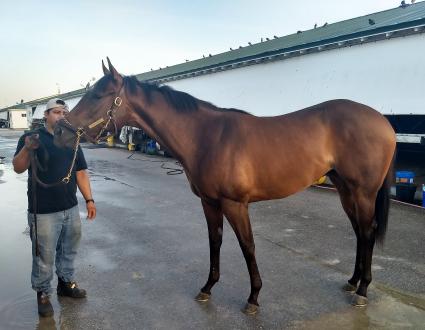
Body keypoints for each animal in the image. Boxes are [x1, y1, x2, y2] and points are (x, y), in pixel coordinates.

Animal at [53, 59, 394, 314]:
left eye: (98, 95)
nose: (60, 132)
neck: (206, 136)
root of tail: (383, 122)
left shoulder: (235, 203)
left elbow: (247, 246)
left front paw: (253, 298)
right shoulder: (209, 202)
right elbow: (214, 242)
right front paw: (207, 288)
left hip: (363, 193)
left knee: (367, 232)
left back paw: (363, 290)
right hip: (346, 191)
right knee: (359, 233)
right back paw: (353, 281)